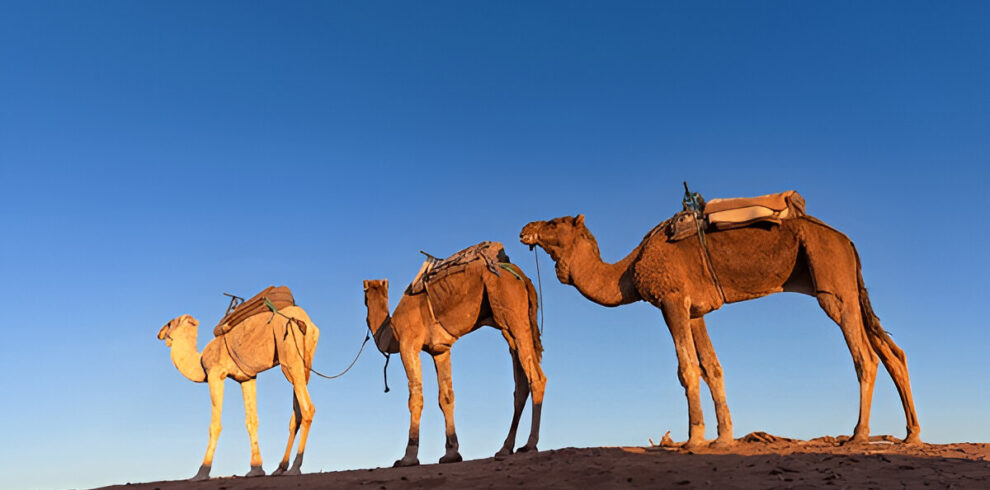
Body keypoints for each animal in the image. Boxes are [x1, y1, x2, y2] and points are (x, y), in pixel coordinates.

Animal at [157, 306, 319, 480]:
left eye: (169, 323)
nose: (159, 334)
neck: (200, 361)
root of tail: (307, 322)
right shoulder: (247, 378)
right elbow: (252, 421)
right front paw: (256, 469)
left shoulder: (215, 374)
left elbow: (215, 425)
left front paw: (202, 472)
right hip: (304, 362)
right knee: (297, 414)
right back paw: (281, 468)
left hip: (289, 355)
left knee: (308, 408)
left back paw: (295, 468)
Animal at [363, 259, 546, 467]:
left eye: (364, 295)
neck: (391, 329)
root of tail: (524, 278)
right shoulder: (440, 350)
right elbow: (446, 397)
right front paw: (451, 454)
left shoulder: (408, 344)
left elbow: (415, 398)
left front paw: (408, 458)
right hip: (510, 327)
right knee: (521, 384)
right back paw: (505, 448)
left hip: (511, 312)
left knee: (537, 378)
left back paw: (530, 444)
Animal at [520, 213, 920, 448]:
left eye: (554, 223)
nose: (525, 229)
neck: (628, 271)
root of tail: (847, 241)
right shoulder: (695, 310)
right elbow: (712, 368)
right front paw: (724, 437)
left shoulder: (672, 299)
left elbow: (686, 369)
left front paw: (694, 438)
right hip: (849, 287)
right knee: (892, 352)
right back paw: (911, 436)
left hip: (832, 282)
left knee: (865, 356)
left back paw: (857, 436)